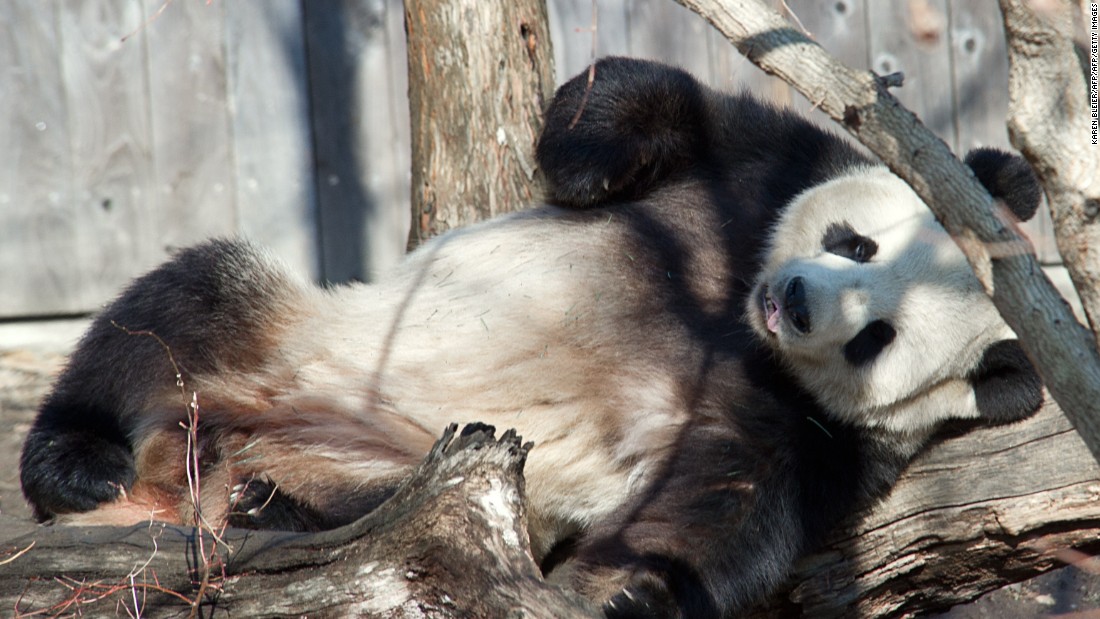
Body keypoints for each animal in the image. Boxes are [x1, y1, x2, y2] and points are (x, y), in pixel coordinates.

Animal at [21, 56, 1042, 615]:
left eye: (878, 337)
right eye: (854, 241)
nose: (793, 300)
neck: (736, 325)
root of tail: (179, 471)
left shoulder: (815, 431)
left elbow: (722, 513)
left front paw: (619, 594)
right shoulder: (757, 174)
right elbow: (648, 103)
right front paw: (587, 168)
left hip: (406, 462)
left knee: (385, 517)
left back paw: (272, 504)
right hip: (293, 338)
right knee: (178, 308)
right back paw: (76, 462)